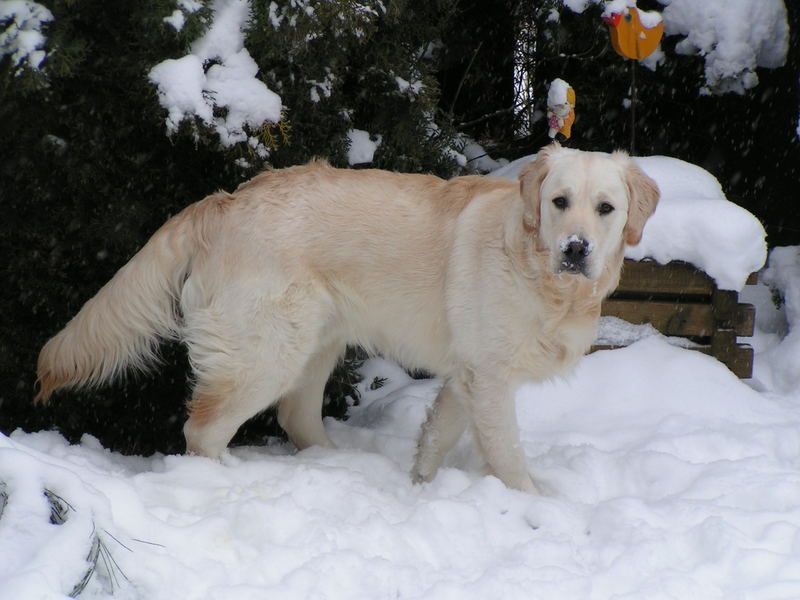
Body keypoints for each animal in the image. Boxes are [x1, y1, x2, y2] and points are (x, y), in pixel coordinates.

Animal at [36, 144, 656, 492]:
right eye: (559, 201)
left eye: (606, 209)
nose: (576, 249)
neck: (535, 267)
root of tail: (225, 200)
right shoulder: (492, 379)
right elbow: (508, 457)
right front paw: (532, 508)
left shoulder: (468, 376)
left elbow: (435, 438)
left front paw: (421, 487)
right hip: (268, 352)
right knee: (202, 428)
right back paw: (227, 481)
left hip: (315, 344)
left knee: (297, 418)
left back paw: (338, 470)